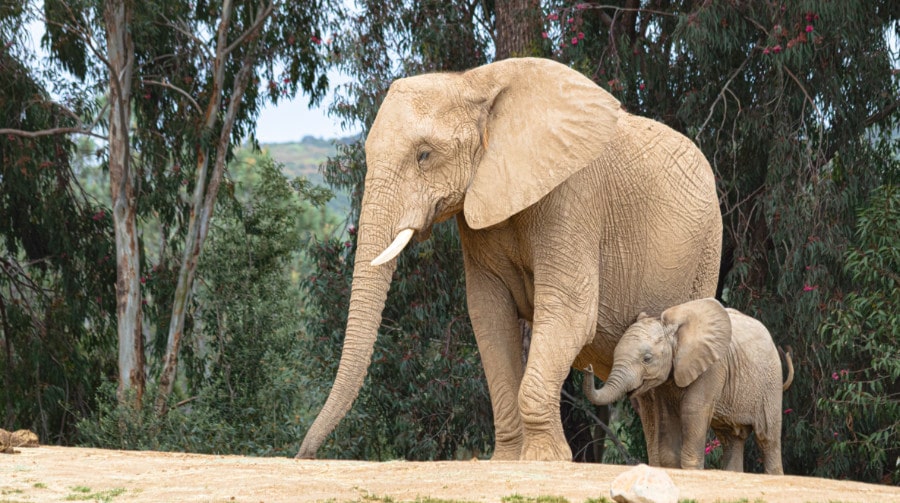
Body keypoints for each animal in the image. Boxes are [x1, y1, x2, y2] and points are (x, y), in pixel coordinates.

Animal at [297, 57, 722, 461]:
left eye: (424, 155)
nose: (305, 454)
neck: (476, 83)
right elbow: (489, 316)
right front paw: (506, 458)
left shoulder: (573, 195)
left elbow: (569, 312)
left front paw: (545, 460)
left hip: (707, 250)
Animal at [582, 298, 794, 474]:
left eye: (647, 359)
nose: (587, 368)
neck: (674, 330)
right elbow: (667, 415)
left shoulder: (712, 367)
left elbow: (693, 410)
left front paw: (692, 470)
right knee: (731, 439)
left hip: (770, 383)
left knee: (767, 438)